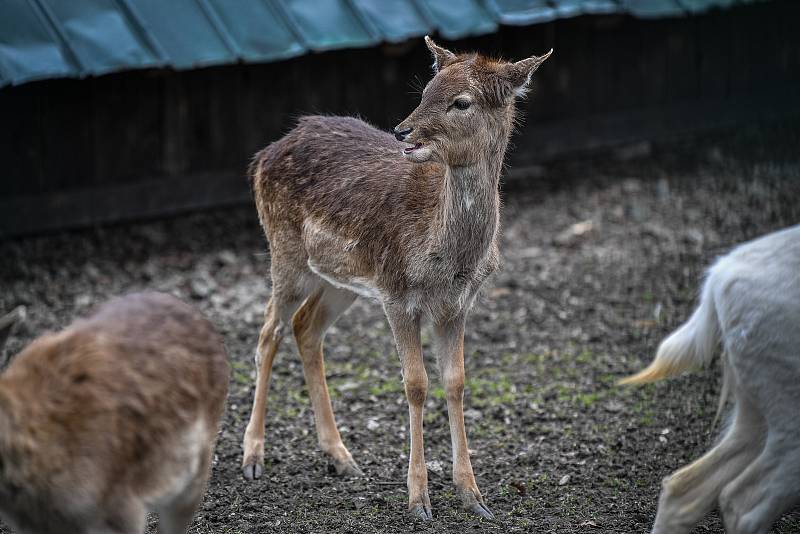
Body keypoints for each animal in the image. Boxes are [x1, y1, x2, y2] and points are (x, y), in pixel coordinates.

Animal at [242, 35, 552, 520]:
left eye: (461, 102)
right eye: (425, 90)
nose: (403, 131)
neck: (446, 257)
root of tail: (262, 155)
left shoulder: (457, 304)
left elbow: (456, 382)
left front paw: (473, 496)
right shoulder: (396, 293)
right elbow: (415, 384)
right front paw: (418, 500)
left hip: (338, 277)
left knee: (305, 327)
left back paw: (341, 457)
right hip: (285, 252)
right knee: (267, 332)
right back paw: (253, 457)